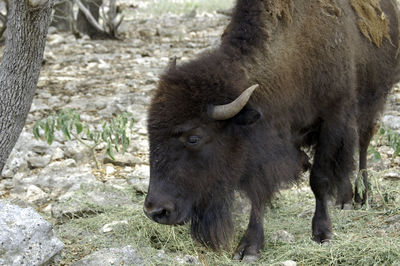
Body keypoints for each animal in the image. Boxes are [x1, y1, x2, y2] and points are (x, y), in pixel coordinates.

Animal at [142, 0, 398, 262]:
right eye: (150, 134)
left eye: (193, 138)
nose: (156, 211)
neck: (294, 55)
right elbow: (259, 193)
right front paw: (249, 247)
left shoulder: (332, 119)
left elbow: (319, 179)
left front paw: (322, 232)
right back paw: (344, 198)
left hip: (371, 103)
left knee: (362, 145)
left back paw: (360, 196)